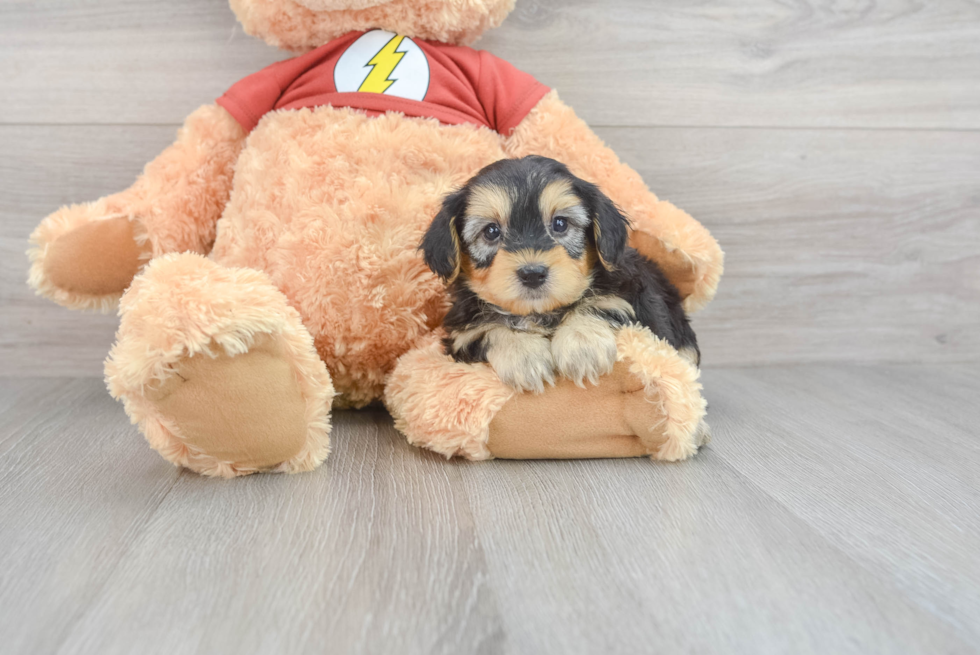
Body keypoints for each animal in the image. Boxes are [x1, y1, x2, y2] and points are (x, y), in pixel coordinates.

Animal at [420, 158, 696, 394]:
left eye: (560, 224)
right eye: (491, 231)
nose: (532, 274)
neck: (540, 313)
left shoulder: (630, 298)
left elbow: (604, 302)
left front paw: (582, 345)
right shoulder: (461, 335)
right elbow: (488, 329)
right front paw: (523, 355)